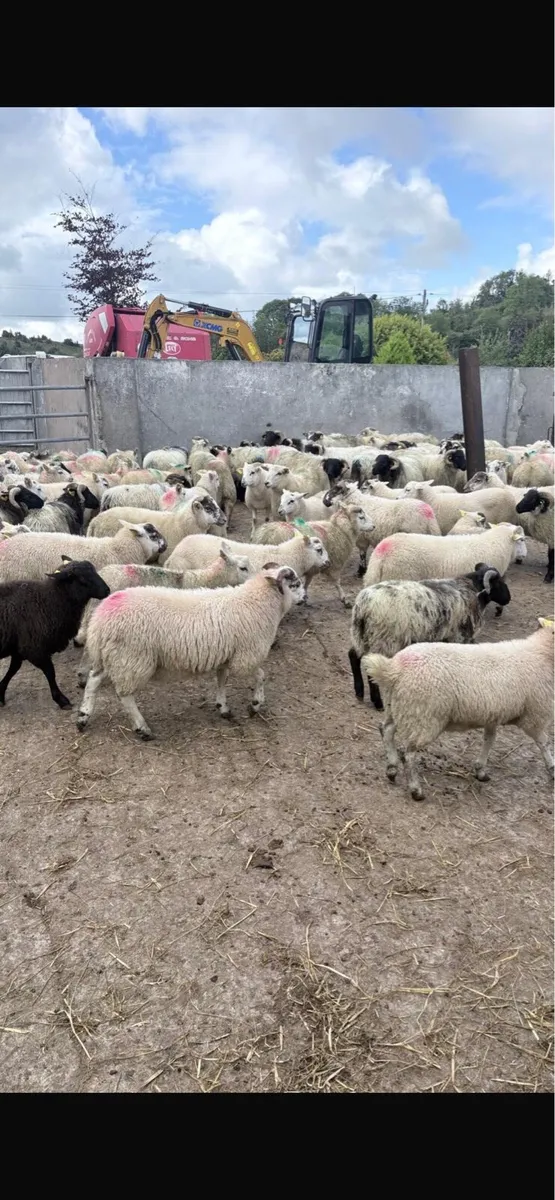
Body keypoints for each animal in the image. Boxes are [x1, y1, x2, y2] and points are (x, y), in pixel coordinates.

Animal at [0, 558, 110, 709]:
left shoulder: (19, 649)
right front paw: (61, 699)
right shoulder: (34, 648)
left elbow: (13, 669)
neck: (48, 600)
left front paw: (0, 692)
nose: (107, 590)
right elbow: (50, 672)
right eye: (81, 578)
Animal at [76, 566, 308, 738]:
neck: (258, 601)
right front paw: (255, 705)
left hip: (112, 656)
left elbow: (221, 680)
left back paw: (83, 716)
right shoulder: (246, 656)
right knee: (125, 695)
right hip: (132, 659)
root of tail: (100, 618)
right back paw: (142, 728)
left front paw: (223, 707)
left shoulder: (225, 656)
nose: (305, 598)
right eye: (295, 584)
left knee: (93, 680)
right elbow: (261, 676)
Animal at [349, 562, 512, 709]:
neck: (473, 591)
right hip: (383, 639)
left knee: (353, 656)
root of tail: (363, 606)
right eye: (498, 582)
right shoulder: (460, 637)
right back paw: (377, 702)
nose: (508, 598)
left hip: (360, 635)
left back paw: (359, 691)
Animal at [364, 618, 554, 802]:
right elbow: (543, 743)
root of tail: (393, 668)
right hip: (424, 716)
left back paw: (391, 768)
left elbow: (489, 740)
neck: (542, 653)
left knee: (386, 730)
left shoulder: (492, 715)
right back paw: (416, 790)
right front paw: (552, 768)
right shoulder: (535, 716)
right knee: (408, 753)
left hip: (400, 707)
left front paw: (480, 769)